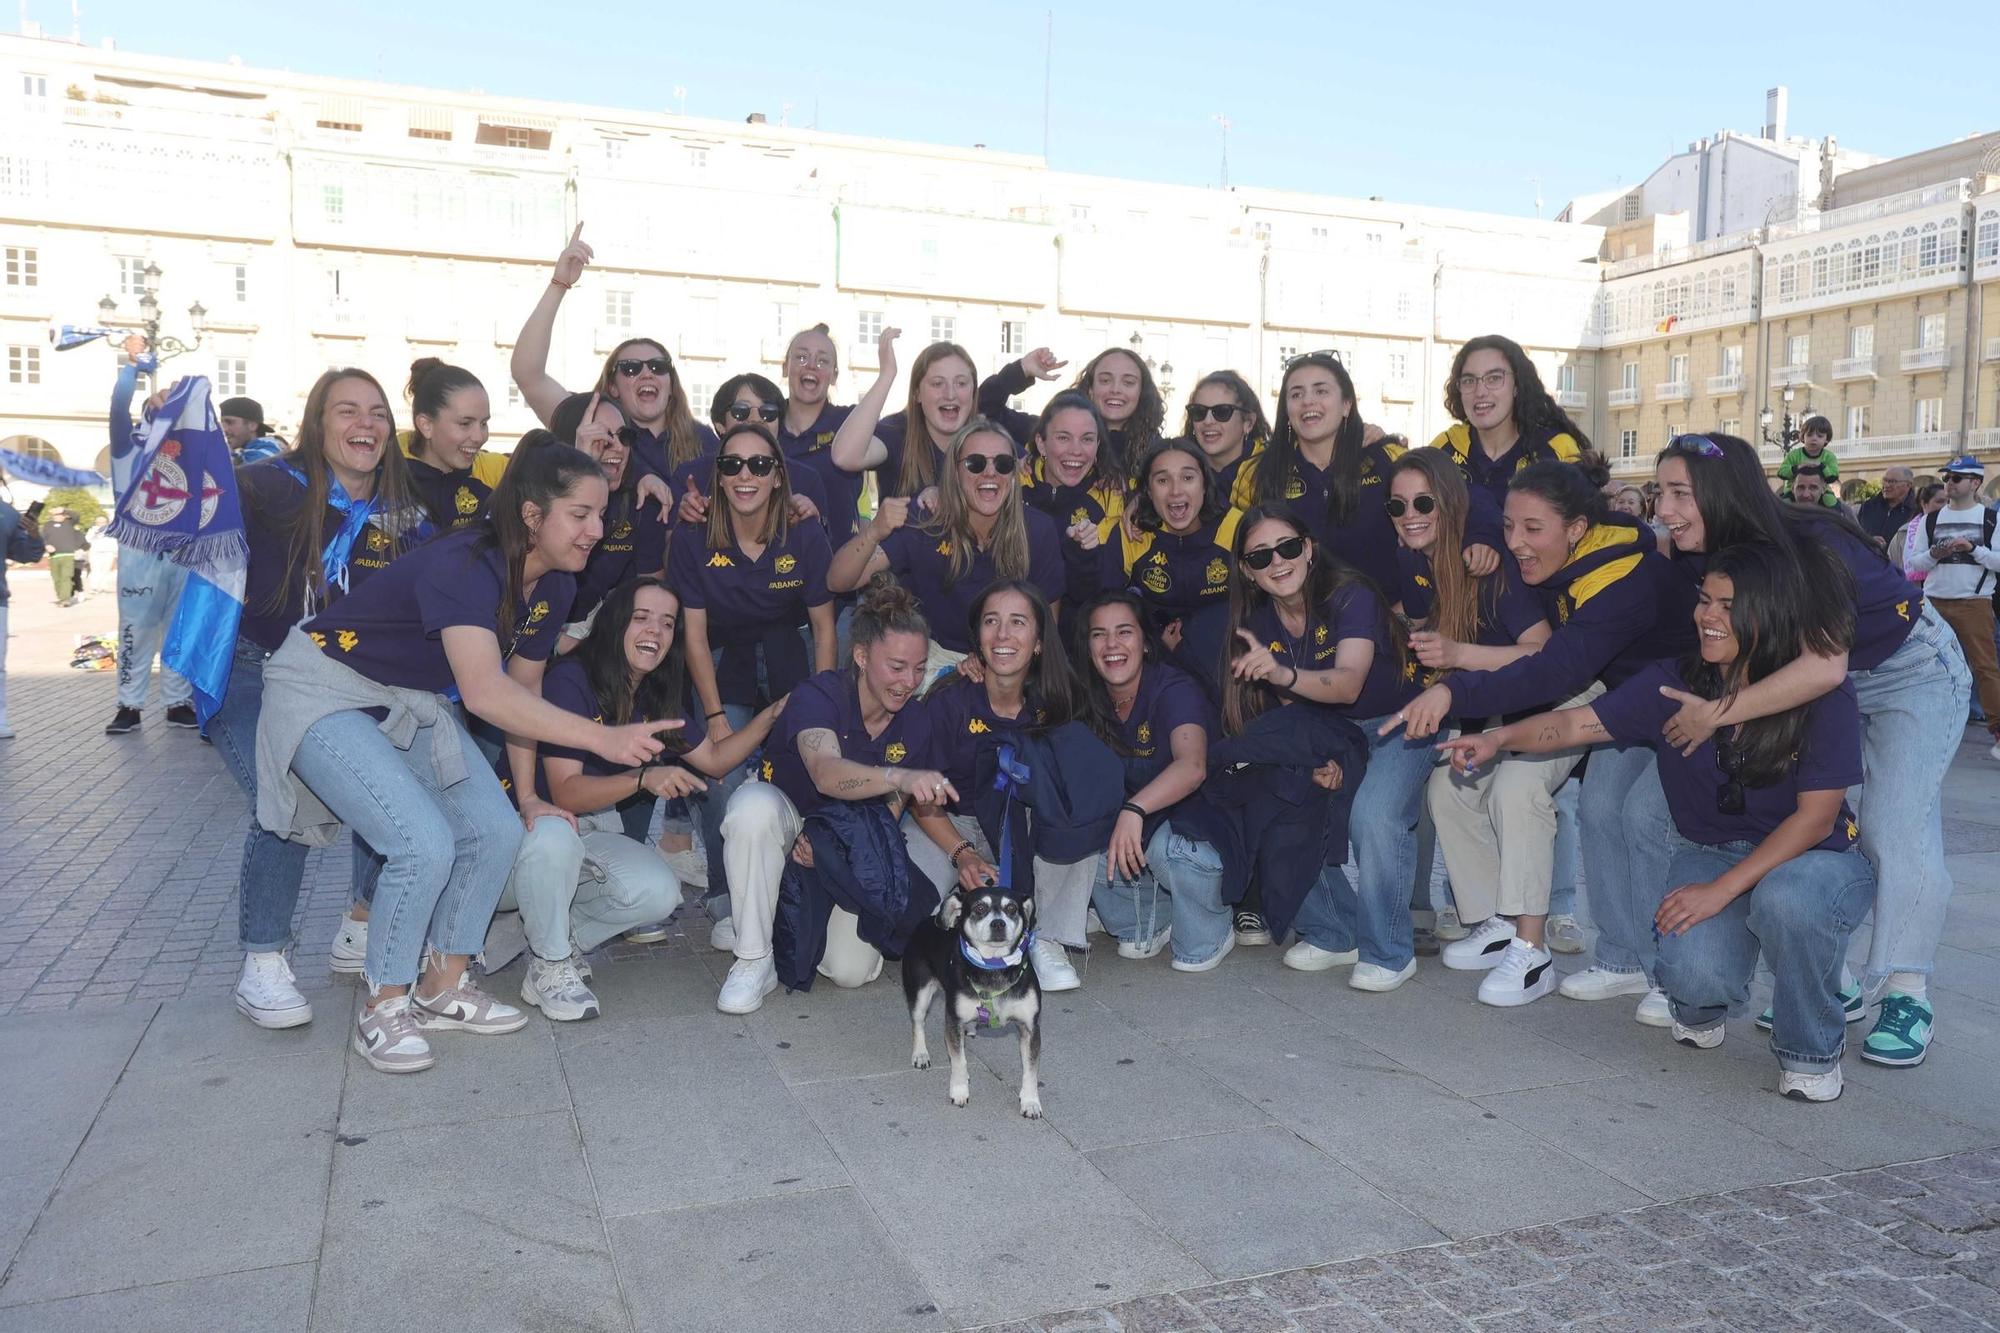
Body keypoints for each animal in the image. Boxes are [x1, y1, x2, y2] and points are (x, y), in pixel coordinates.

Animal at [900, 888, 1040, 1112]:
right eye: (980, 908)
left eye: (1011, 908)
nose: (998, 923)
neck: (994, 967)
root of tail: (927, 921)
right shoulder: (953, 1020)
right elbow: (959, 1061)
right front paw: (959, 1091)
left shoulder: (1030, 1027)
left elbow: (1031, 1070)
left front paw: (1031, 1101)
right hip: (920, 993)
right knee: (918, 1023)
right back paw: (920, 1054)